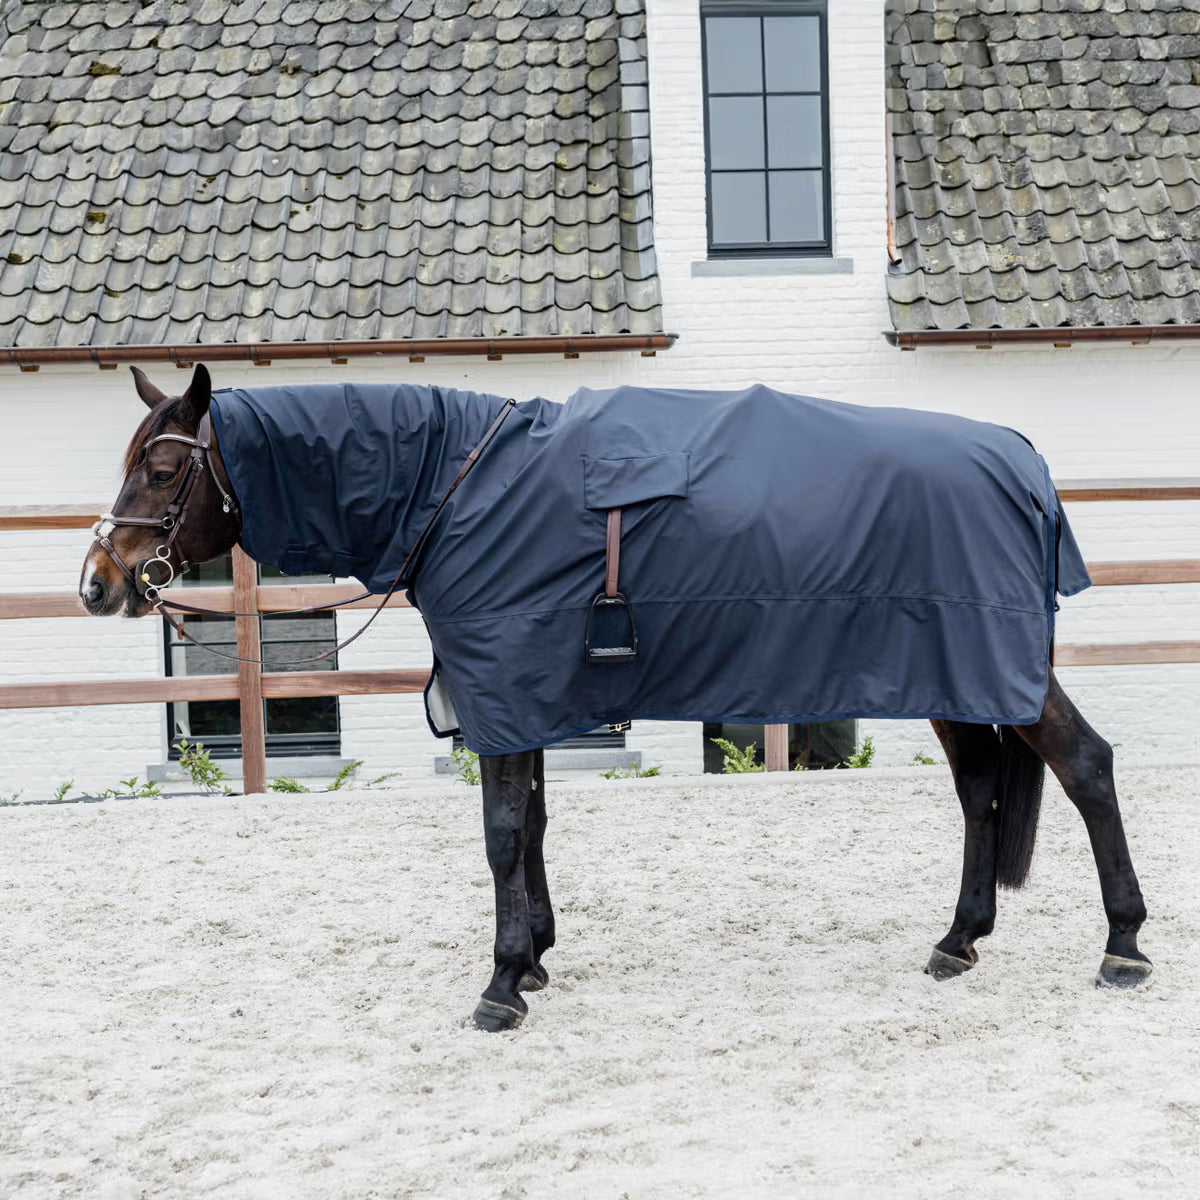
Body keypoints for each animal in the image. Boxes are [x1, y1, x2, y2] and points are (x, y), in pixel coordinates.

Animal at [78, 363, 1152, 1031]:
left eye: (163, 468)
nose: (97, 582)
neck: (454, 488)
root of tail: (1021, 457)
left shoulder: (505, 687)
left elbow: (501, 834)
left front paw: (502, 983)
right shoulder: (521, 693)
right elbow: (534, 826)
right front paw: (536, 956)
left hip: (990, 668)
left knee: (1085, 767)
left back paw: (1124, 947)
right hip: (958, 677)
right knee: (979, 791)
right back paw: (959, 940)